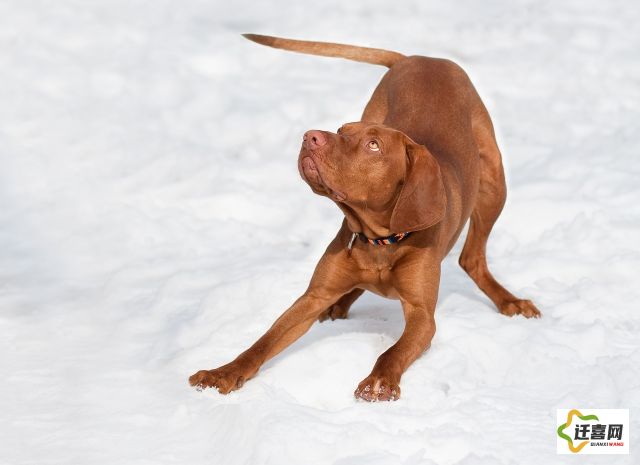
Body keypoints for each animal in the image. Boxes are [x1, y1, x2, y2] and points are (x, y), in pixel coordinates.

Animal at [190, 35, 540, 398]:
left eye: (373, 145)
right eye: (341, 129)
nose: (310, 136)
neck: (380, 239)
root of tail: (420, 57)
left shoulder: (422, 315)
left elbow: (393, 351)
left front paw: (379, 381)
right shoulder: (313, 297)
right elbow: (264, 340)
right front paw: (223, 373)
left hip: (493, 183)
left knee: (472, 258)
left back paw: (510, 301)